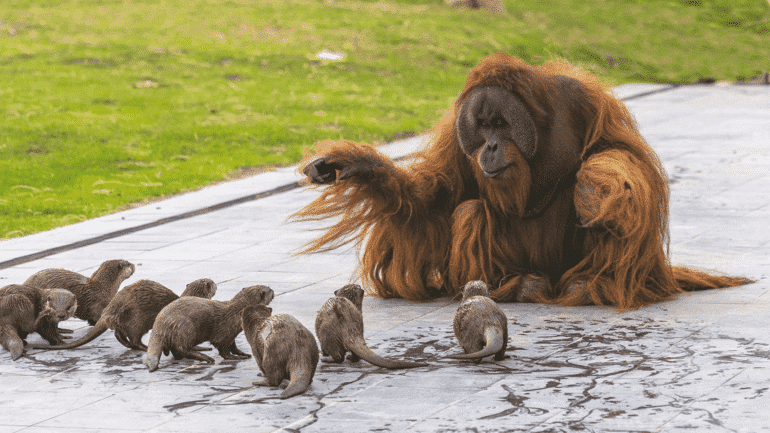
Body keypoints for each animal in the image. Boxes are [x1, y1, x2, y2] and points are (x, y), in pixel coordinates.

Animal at [30, 276, 216, 352]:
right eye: (212, 283)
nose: (214, 282)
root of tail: (111, 307)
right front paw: (202, 348)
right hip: (138, 319)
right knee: (134, 338)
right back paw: (144, 347)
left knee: (119, 333)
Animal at [146, 284, 274, 372]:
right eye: (269, 290)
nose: (273, 290)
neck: (236, 314)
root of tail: (160, 323)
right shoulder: (224, 332)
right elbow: (224, 349)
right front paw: (234, 357)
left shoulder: (231, 334)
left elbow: (233, 346)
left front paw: (243, 354)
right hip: (186, 328)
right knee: (183, 348)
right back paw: (206, 357)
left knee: (176, 349)